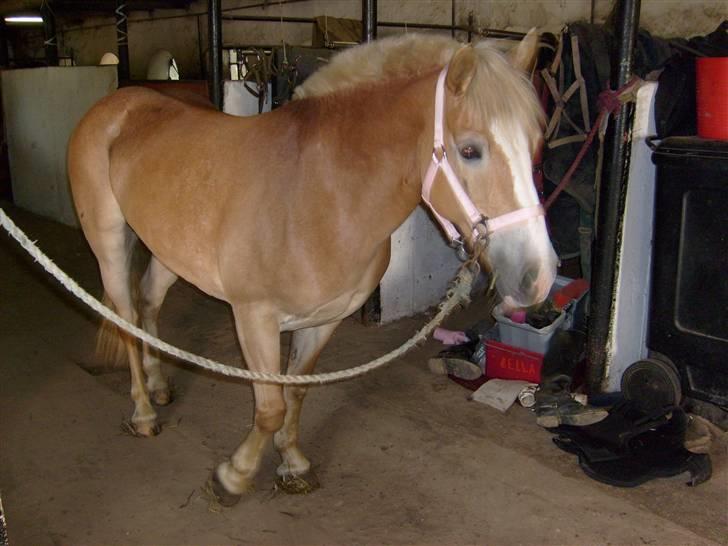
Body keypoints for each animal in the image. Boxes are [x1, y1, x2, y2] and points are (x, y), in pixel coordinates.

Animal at [68, 31, 556, 504]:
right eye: (470, 150)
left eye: (536, 147)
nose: (540, 276)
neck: (317, 194)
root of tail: (116, 104)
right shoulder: (254, 319)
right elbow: (270, 408)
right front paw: (233, 476)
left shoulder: (323, 321)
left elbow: (297, 391)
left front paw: (292, 462)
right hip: (109, 243)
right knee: (126, 317)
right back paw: (143, 412)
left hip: (169, 249)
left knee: (148, 304)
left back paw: (159, 385)